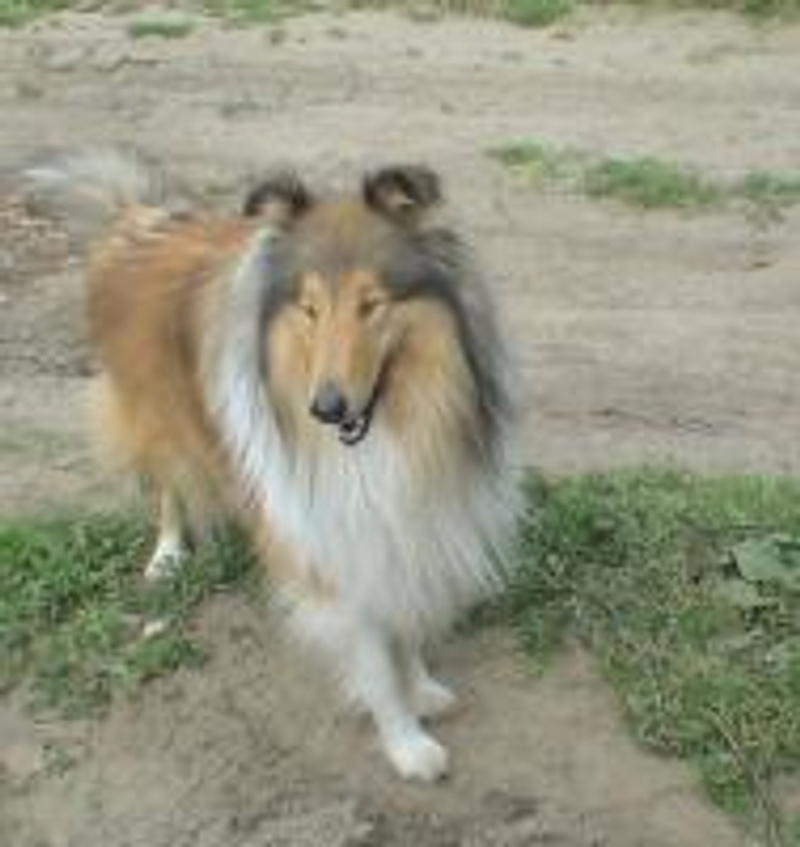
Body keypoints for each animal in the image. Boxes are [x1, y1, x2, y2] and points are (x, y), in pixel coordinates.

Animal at [26, 149, 521, 781]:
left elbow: (402, 619)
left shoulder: (401, 519)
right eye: (309, 309)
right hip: (153, 415)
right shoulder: (325, 536)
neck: (387, 428)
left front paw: (420, 687)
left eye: (371, 303)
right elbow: (373, 657)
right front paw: (406, 741)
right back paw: (167, 555)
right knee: (167, 484)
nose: (327, 409)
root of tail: (140, 217)